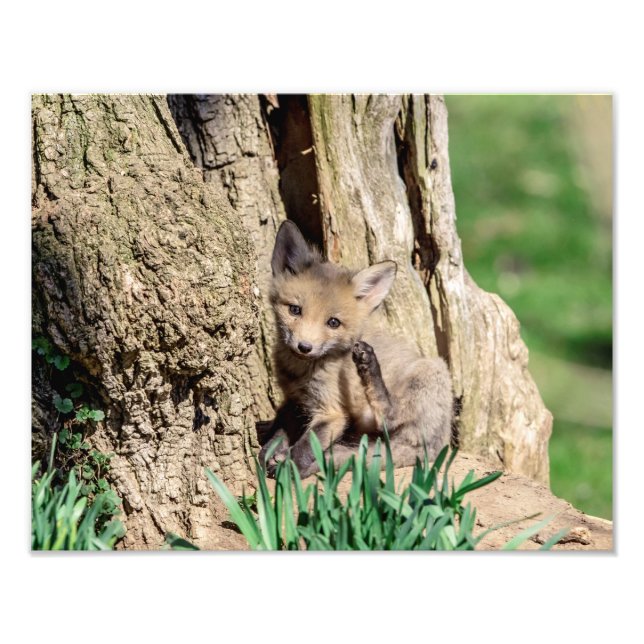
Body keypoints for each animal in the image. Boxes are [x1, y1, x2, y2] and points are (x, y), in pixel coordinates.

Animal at [259, 220, 453, 479]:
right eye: (295, 310)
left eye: (333, 322)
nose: (304, 347)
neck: (301, 372)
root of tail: (437, 445)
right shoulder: (295, 400)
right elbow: (280, 429)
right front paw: (269, 452)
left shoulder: (332, 412)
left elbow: (306, 445)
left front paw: (290, 468)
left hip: (432, 371)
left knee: (390, 417)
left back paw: (369, 366)